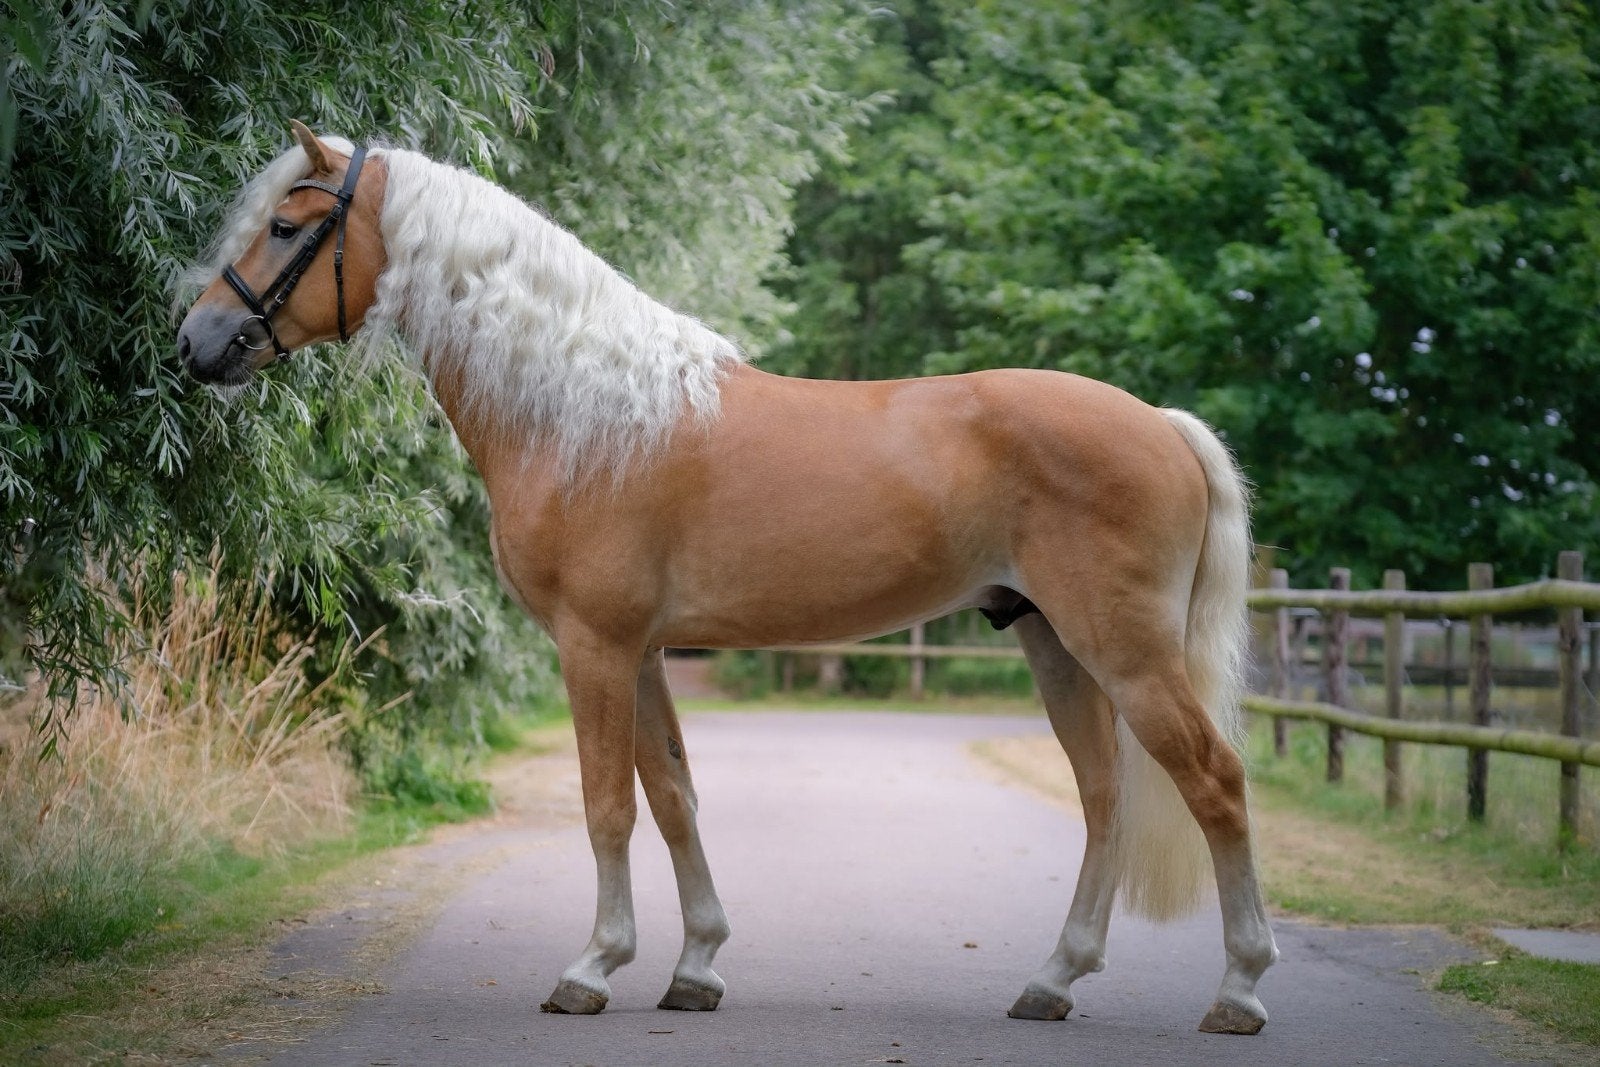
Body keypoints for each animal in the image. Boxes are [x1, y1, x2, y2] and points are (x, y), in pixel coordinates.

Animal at [177, 122, 1277, 1035]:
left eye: (284, 226)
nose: (196, 343)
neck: (580, 412)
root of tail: (1161, 423)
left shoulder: (596, 644)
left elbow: (607, 804)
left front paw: (591, 967)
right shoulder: (645, 651)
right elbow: (673, 795)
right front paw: (695, 965)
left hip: (1123, 650)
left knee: (1215, 780)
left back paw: (1238, 989)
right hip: (1057, 645)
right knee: (1104, 799)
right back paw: (1051, 981)